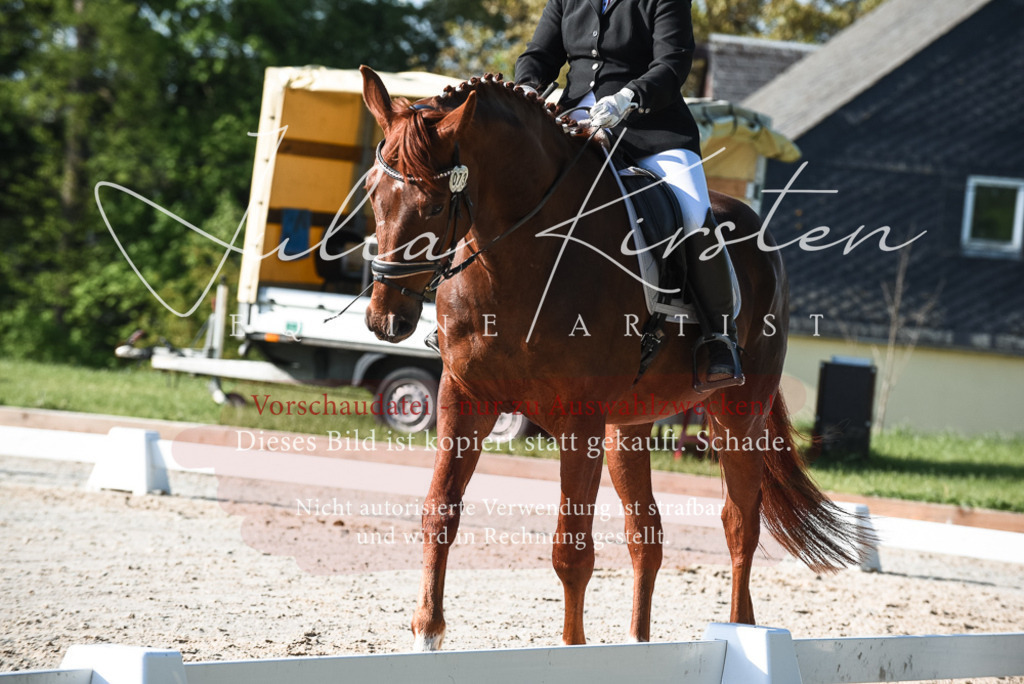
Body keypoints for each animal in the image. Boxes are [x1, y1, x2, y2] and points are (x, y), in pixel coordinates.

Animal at [358, 66, 869, 650]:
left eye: (437, 206)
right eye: (373, 194)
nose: (386, 319)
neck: (522, 257)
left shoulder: (580, 421)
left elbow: (571, 549)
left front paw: (572, 648)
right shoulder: (464, 398)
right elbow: (440, 510)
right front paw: (426, 633)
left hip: (738, 414)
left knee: (740, 524)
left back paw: (741, 630)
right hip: (629, 427)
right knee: (646, 534)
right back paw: (638, 641)